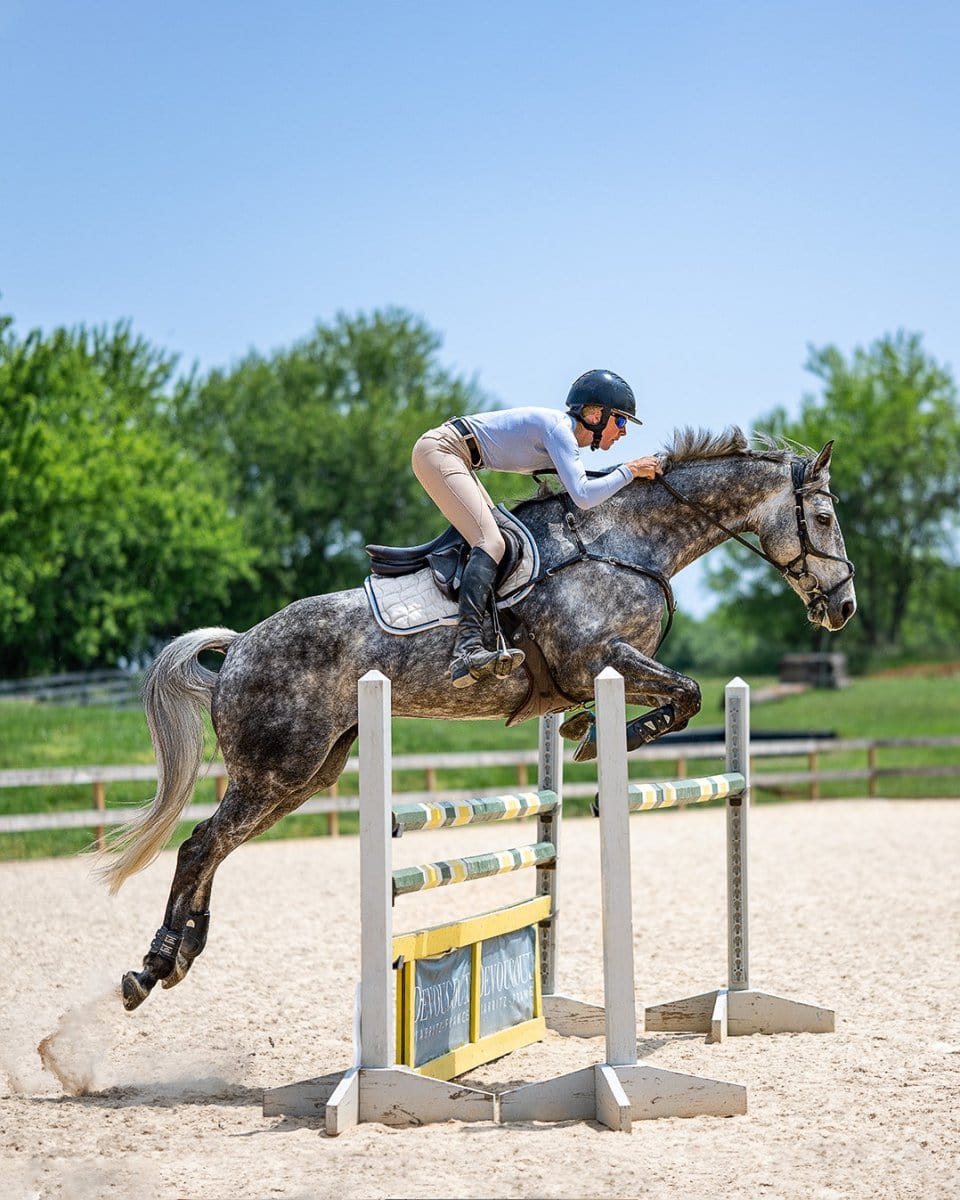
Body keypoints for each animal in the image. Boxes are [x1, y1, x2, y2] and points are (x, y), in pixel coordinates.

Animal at [101, 427, 856, 1010]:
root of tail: (235, 650)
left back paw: (178, 956)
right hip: (275, 769)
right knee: (201, 845)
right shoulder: (600, 659)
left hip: (307, 774)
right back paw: (152, 967)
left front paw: (582, 733)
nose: (842, 608)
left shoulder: (608, 667)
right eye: (822, 519)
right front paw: (594, 737)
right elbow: (689, 693)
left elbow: (683, 698)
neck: (626, 542)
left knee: (218, 846)